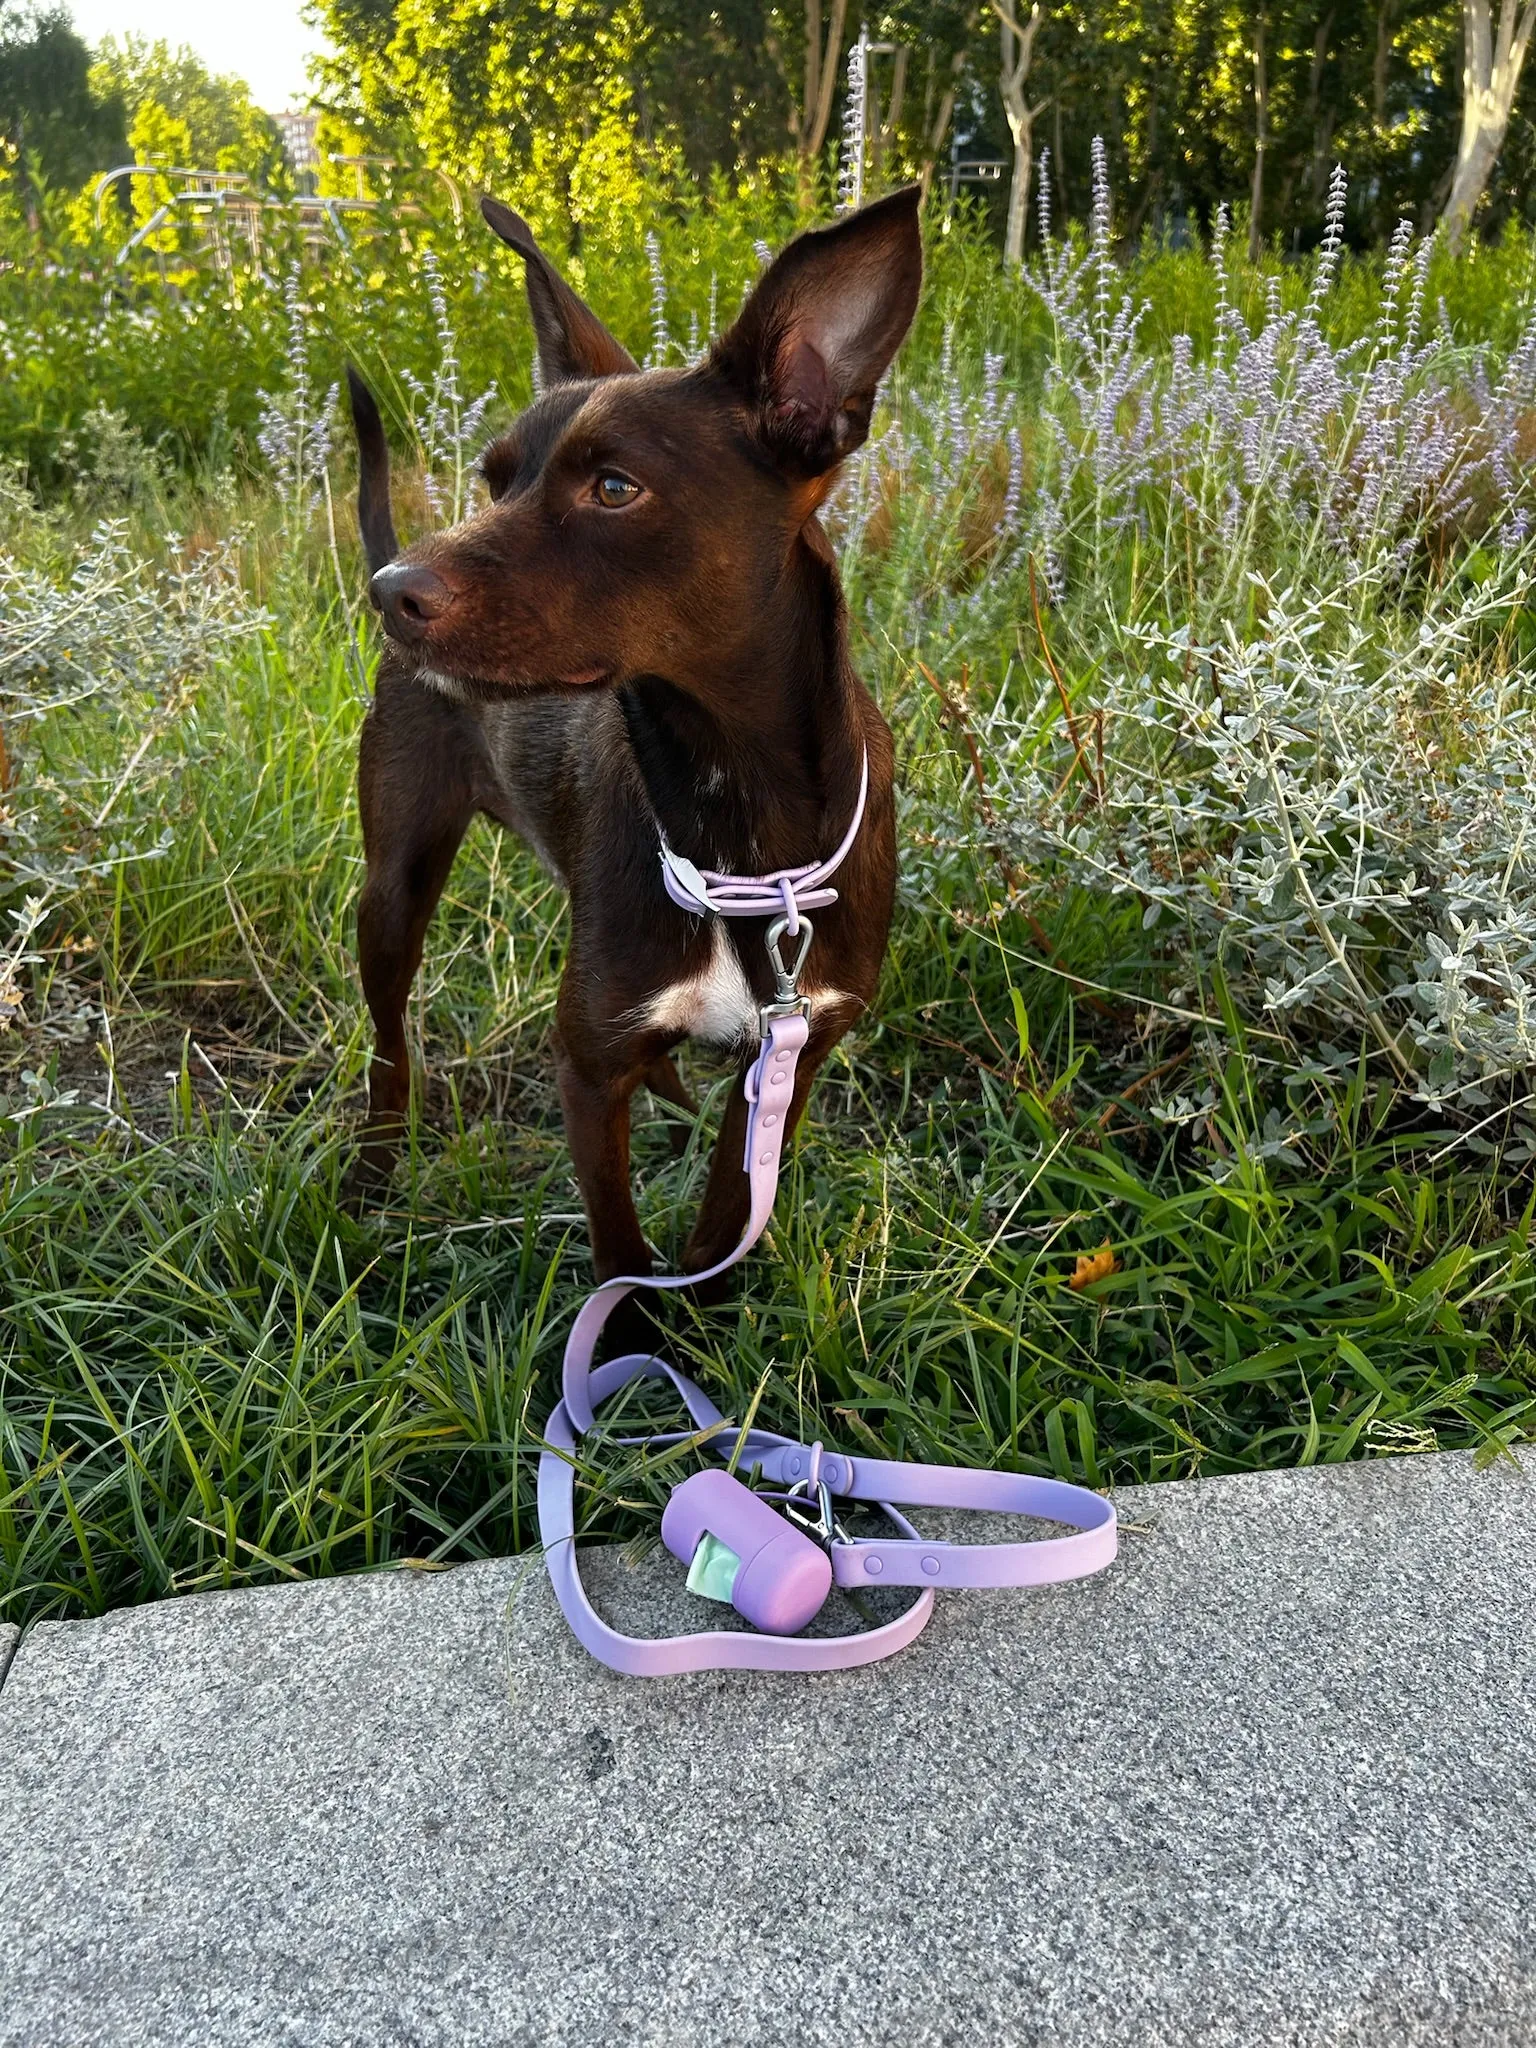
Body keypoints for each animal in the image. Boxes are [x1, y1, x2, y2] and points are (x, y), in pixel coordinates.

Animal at [354, 180, 921, 1294]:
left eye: (613, 487)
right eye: (495, 481)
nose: (392, 594)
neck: (739, 817)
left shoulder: (791, 1055)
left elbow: (717, 1227)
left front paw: (708, 1316)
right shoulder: (589, 1065)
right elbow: (620, 1248)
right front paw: (636, 1331)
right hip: (392, 887)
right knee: (389, 1047)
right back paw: (370, 1173)